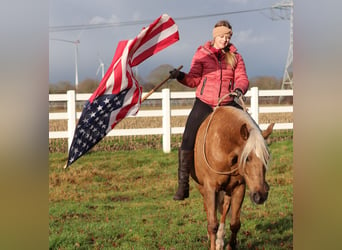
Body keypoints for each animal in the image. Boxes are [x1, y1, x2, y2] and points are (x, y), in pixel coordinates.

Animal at [191, 106, 274, 250]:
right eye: (247, 158)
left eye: (267, 157)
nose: (260, 195)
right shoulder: (210, 188)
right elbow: (212, 224)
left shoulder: (239, 187)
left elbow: (235, 223)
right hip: (202, 187)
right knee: (208, 208)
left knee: (224, 208)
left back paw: (220, 240)